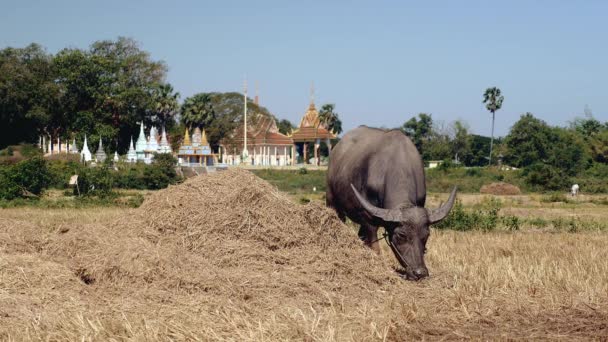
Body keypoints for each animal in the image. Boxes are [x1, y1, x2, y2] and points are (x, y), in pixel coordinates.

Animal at [328, 126, 456, 280]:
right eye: (401, 235)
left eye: (426, 235)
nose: (419, 273)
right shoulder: (368, 218)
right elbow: (375, 247)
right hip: (331, 200)